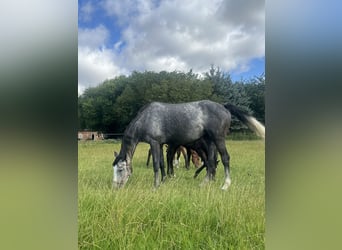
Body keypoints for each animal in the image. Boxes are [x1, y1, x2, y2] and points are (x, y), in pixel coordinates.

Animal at [112, 99, 264, 189]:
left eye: (120, 170)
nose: (115, 188)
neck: (145, 118)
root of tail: (223, 106)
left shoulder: (154, 143)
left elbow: (155, 165)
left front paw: (155, 186)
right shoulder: (160, 144)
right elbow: (162, 163)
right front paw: (164, 180)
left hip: (218, 138)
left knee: (225, 158)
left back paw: (225, 185)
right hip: (210, 142)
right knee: (210, 162)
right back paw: (204, 183)